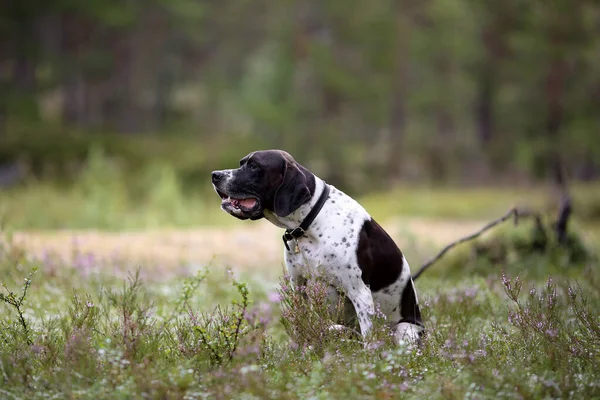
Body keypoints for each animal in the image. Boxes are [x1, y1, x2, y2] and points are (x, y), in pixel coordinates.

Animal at [211, 150, 422, 344]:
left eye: (254, 166)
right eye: (242, 163)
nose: (215, 175)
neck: (310, 224)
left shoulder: (360, 293)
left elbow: (369, 341)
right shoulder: (298, 286)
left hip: (405, 330)